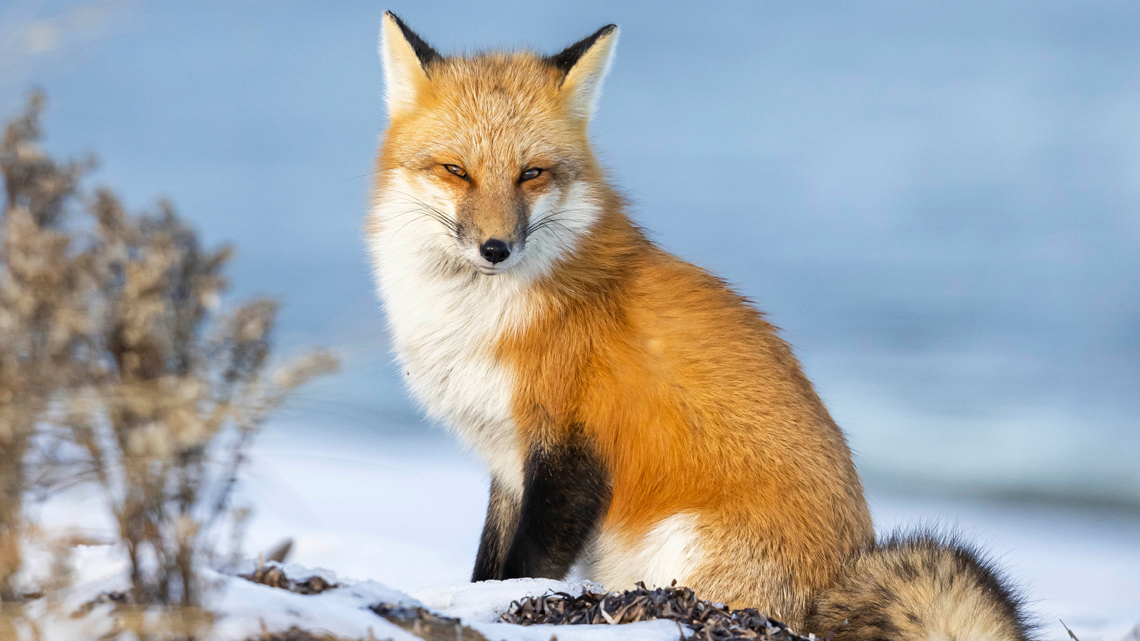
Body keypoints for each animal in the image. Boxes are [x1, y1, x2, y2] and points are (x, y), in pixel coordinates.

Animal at [366, 12, 1033, 641]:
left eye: (531, 173)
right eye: (456, 170)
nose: (496, 249)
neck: (481, 318)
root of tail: (829, 596)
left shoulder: (571, 455)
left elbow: (522, 570)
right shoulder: (507, 460)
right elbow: (487, 568)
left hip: (678, 547)